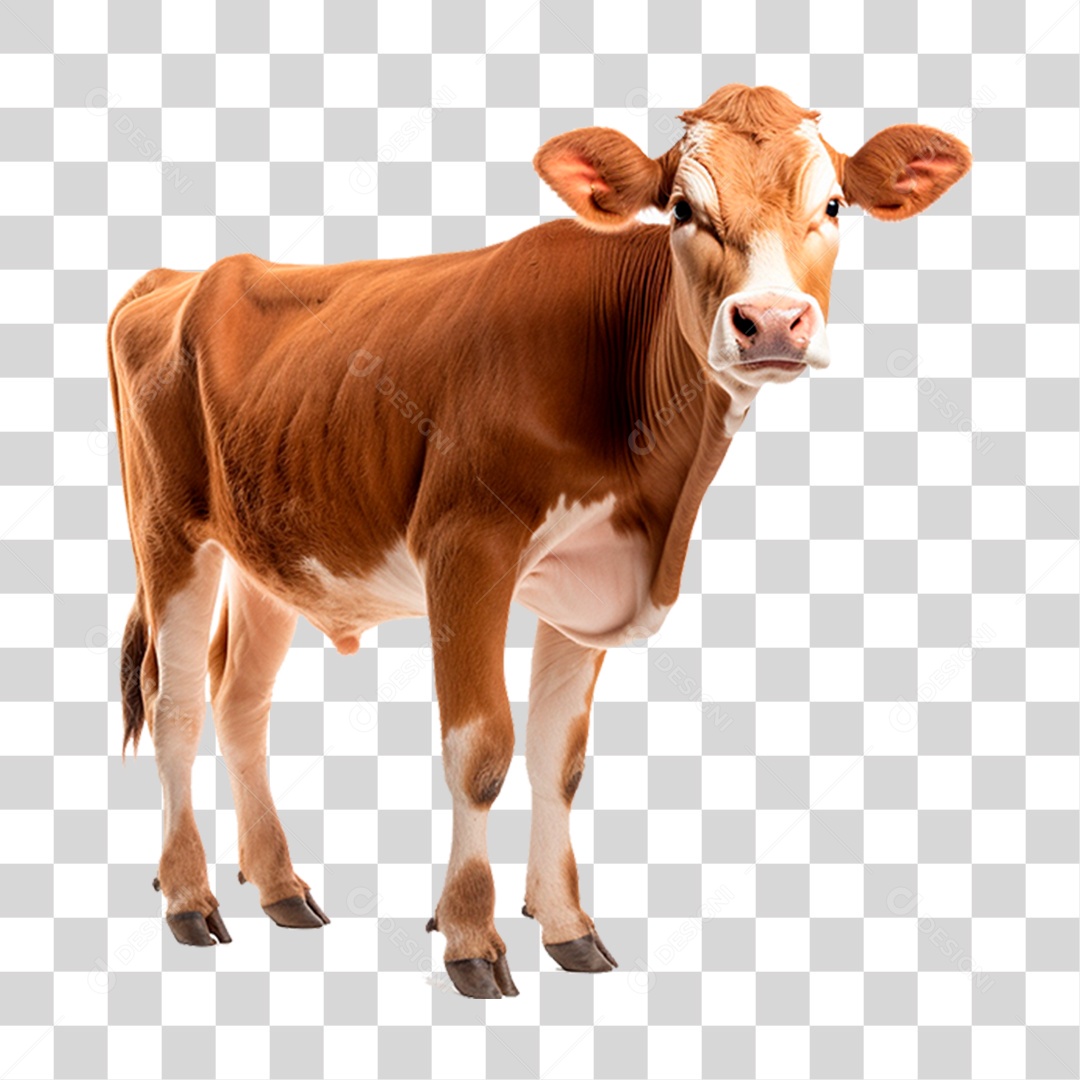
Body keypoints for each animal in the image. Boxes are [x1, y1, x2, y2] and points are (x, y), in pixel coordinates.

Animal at [109, 85, 970, 998]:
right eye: (682, 209)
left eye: (833, 205)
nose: (771, 322)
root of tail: (179, 277)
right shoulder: (464, 551)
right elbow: (481, 750)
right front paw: (470, 936)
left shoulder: (590, 581)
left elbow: (559, 760)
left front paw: (566, 926)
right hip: (169, 533)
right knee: (174, 702)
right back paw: (189, 899)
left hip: (271, 548)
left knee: (240, 700)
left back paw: (278, 887)